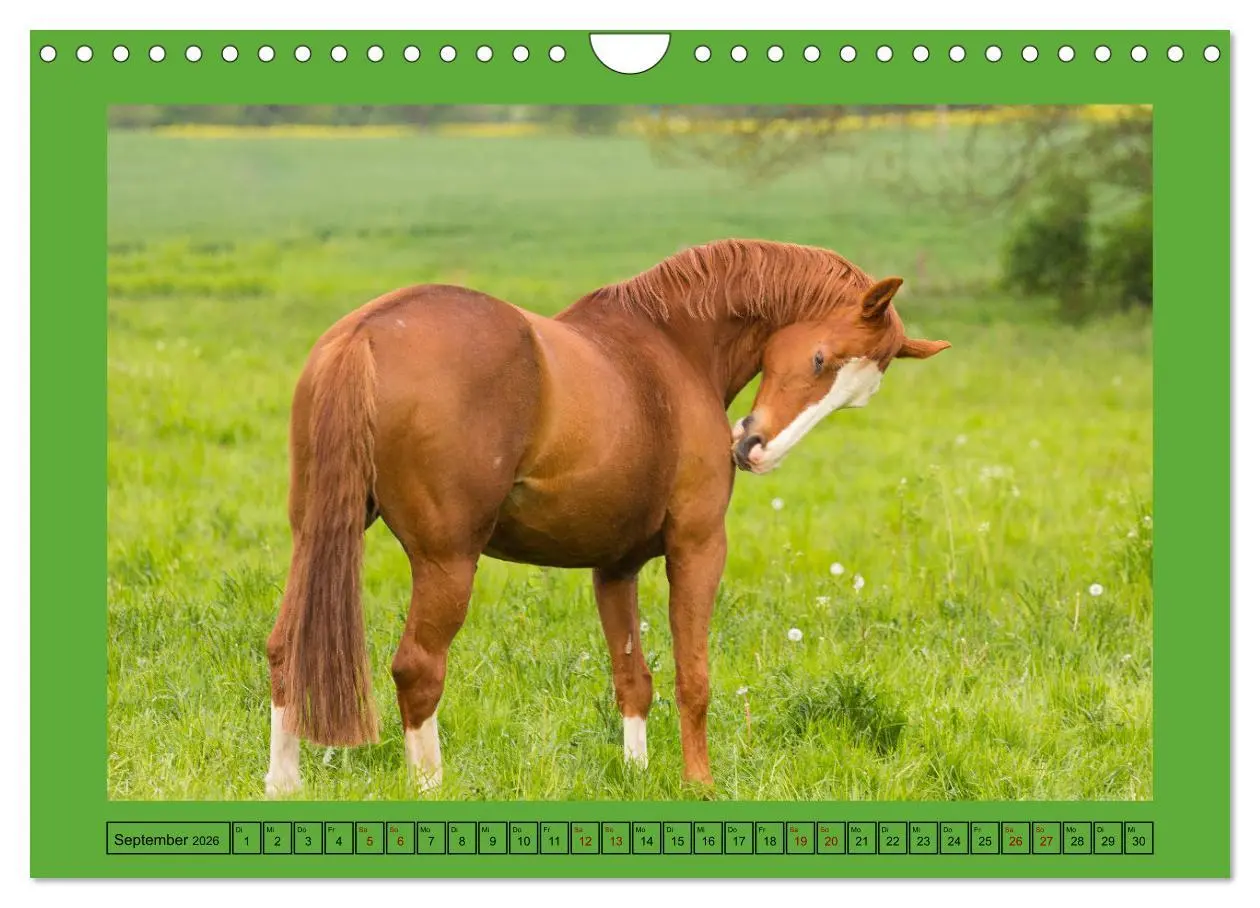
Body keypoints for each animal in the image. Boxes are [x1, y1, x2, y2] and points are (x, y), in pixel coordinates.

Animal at [264, 238, 949, 797]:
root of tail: (368, 331)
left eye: (855, 397)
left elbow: (633, 677)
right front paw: (698, 784)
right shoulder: (699, 547)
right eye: (819, 359)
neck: (671, 347)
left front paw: (636, 774)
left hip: (317, 534)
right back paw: (429, 787)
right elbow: (693, 675)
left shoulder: (614, 568)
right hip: (447, 562)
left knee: (285, 651)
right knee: (418, 669)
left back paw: (283, 784)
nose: (757, 451)